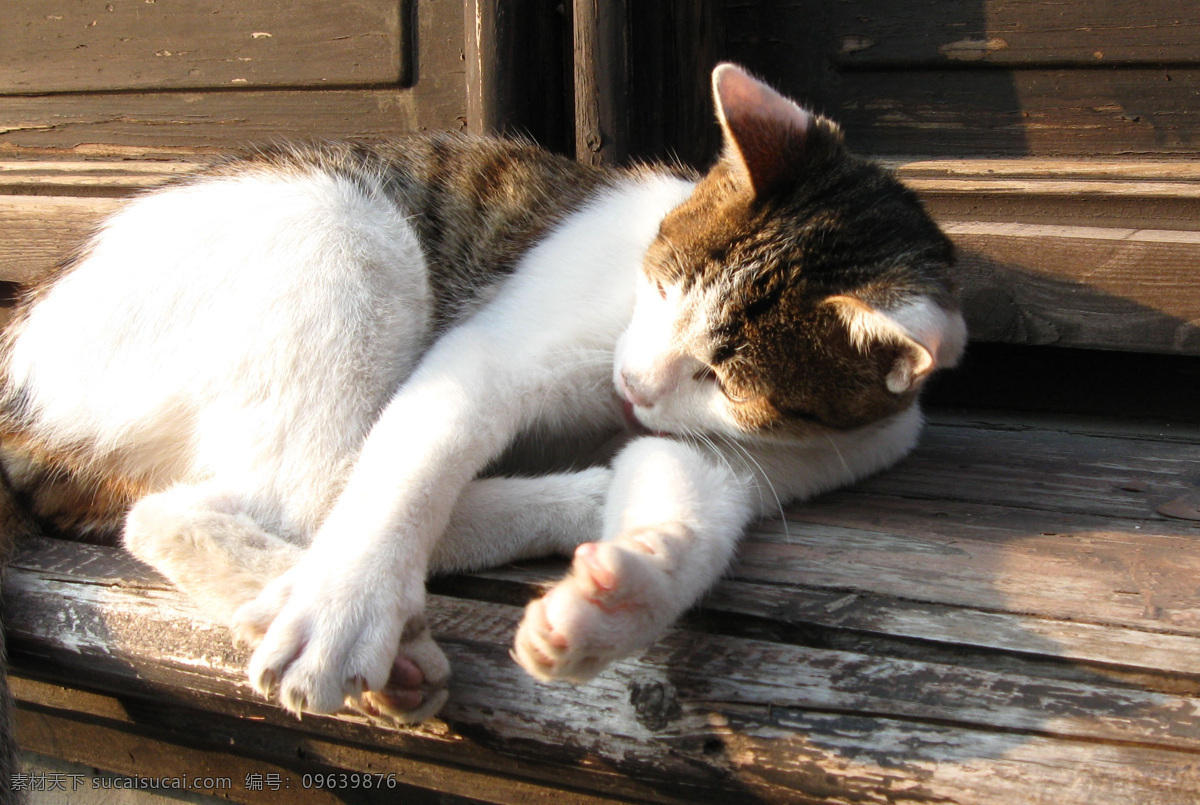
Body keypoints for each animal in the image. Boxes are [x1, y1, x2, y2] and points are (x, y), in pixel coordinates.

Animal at [0, 65, 960, 729]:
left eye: (721, 379)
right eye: (657, 285)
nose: (631, 386)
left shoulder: (743, 451)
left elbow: (689, 504)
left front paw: (614, 602)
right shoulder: (484, 357)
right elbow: (405, 474)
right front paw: (345, 609)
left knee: (180, 509)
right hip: (345, 224)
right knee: (301, 490)